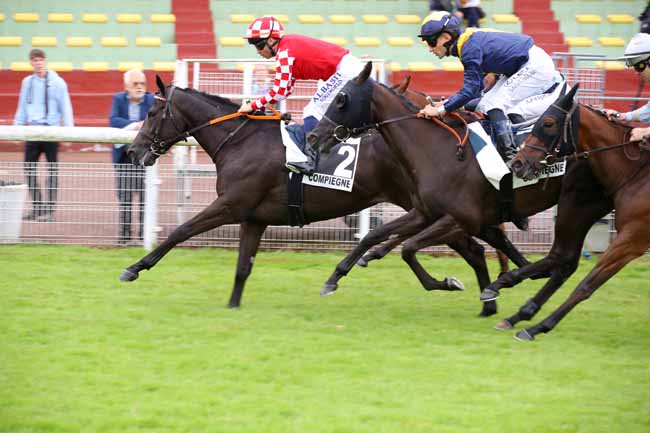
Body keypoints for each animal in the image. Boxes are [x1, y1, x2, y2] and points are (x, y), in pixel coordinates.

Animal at [120, 77, 528, 314]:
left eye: (153, 111)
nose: (133, 152)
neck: (241, 141)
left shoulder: (231, 205)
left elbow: (181, 231)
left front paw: (134, 268)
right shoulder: (254, 217)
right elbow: (242, 266)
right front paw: (233, 306)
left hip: (431, 207)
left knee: (473, 245)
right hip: (431, 209)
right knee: (475, 247)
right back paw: (486, 298)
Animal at [304, 63, 612, 334]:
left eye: (341, 100)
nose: (313, 137)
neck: (438, 150)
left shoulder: (461, 219)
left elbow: (409, 249)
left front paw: (450, 283)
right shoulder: (425, 212)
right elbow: (374, 235)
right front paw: (334, 278)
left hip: (577, 206)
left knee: (564, 258)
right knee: (564, 262)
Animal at [506, 85, 648, 340]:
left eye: (549, 122)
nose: (518, 163)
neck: (637, 173)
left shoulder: (633, 239)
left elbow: (586, 286)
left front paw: (537, 327)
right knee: (564, 257)